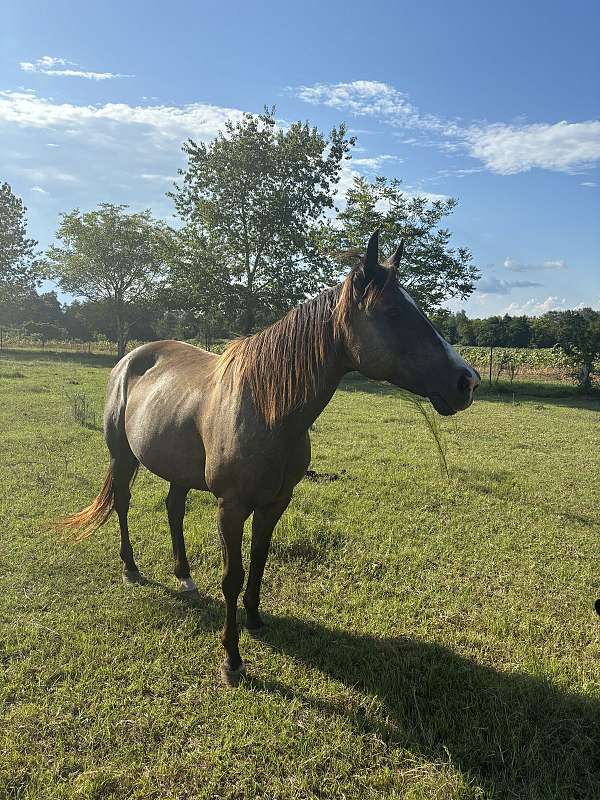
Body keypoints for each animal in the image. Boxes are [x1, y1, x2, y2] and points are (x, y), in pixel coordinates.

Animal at [63, 231, 480, 688]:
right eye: (392, 310)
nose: (468, 381)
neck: (268, 411)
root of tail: (130, 358)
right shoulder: (231, 507)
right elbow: (232, 577)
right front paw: (232, 660)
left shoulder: (276, 502)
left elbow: (260, 560)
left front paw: (256, 620)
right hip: (122, 456)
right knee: (122, 502)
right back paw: (131, 569)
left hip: (178, 468)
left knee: (173, 508)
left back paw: (185, 577)